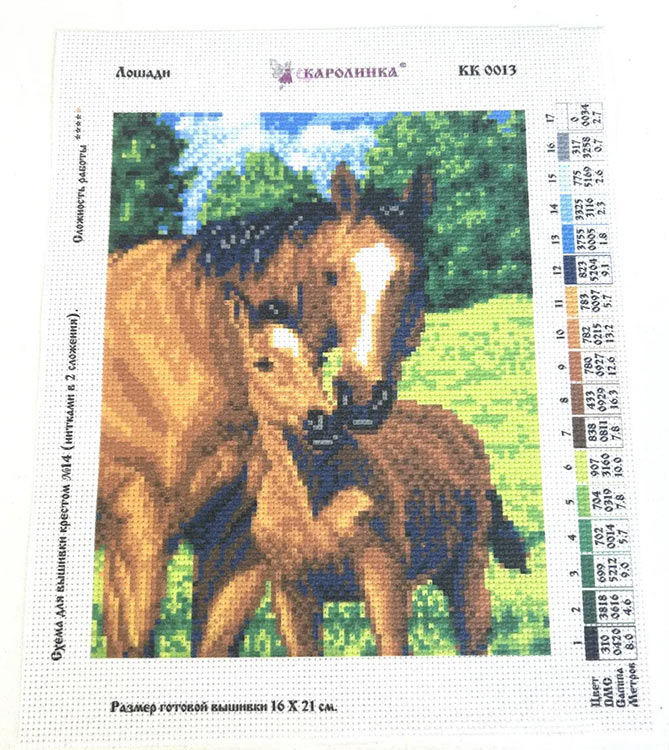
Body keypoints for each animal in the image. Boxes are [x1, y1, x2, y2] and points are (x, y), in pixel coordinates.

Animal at [200, 297, 495, 656]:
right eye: (262, 363)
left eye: (318, 360)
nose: (321, 422)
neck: (314, 500)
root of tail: (462, 431)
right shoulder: (292, 589)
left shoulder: (385, 578)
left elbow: (393, 646)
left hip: (466, 568)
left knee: (473, 637)